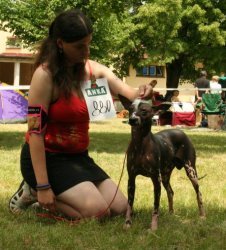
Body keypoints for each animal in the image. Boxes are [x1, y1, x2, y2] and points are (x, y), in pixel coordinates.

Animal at [119, 96, 206, 230]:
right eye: (130, 109)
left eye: (144, 111)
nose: (132, 119)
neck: (140, 145)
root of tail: (180, 131)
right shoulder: (131, 180)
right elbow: (130, 204)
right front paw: (127, 223)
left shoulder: (156, 180)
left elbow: (155, 207)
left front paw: (153, 227)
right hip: (165, 176)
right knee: (170, 192)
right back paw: (171, 213)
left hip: (191, 172)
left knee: (199, 193)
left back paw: (202, 215)